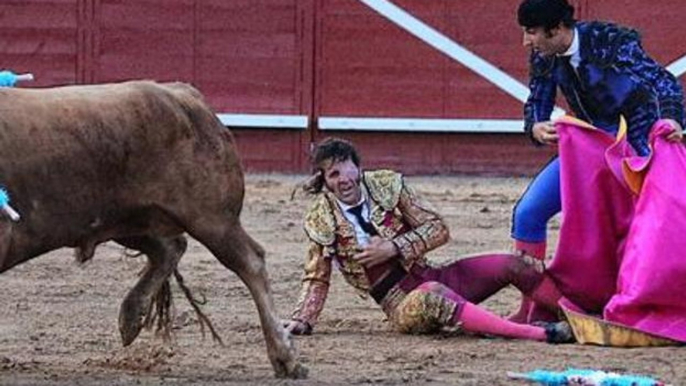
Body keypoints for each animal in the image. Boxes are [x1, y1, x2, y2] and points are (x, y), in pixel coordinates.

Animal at [0, 80, 306, 378]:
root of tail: (184, 95)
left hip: (214, 219)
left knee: (250, 262)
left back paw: (285, 357)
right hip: (130, 221)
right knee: (170, 248)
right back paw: (130, 318)